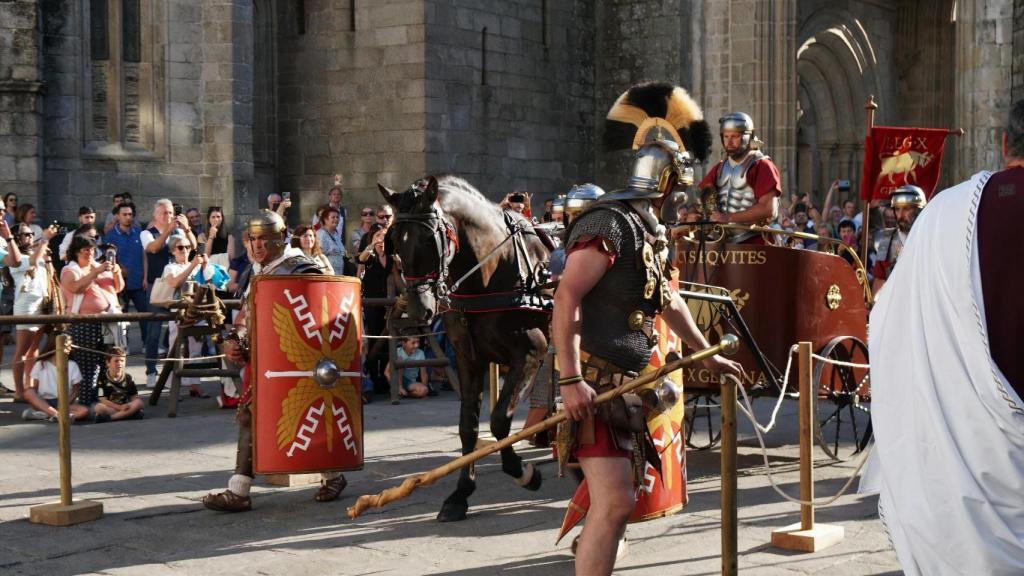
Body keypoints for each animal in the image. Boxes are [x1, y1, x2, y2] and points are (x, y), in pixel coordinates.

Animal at [378, 174, 552, 520]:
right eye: (397, 244)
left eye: (429, 241)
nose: (418, 310)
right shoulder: (468, 358)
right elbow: (468, 427)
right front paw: (460, 494)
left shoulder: (530, 354)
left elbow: (499, 420)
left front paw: (523, 472)